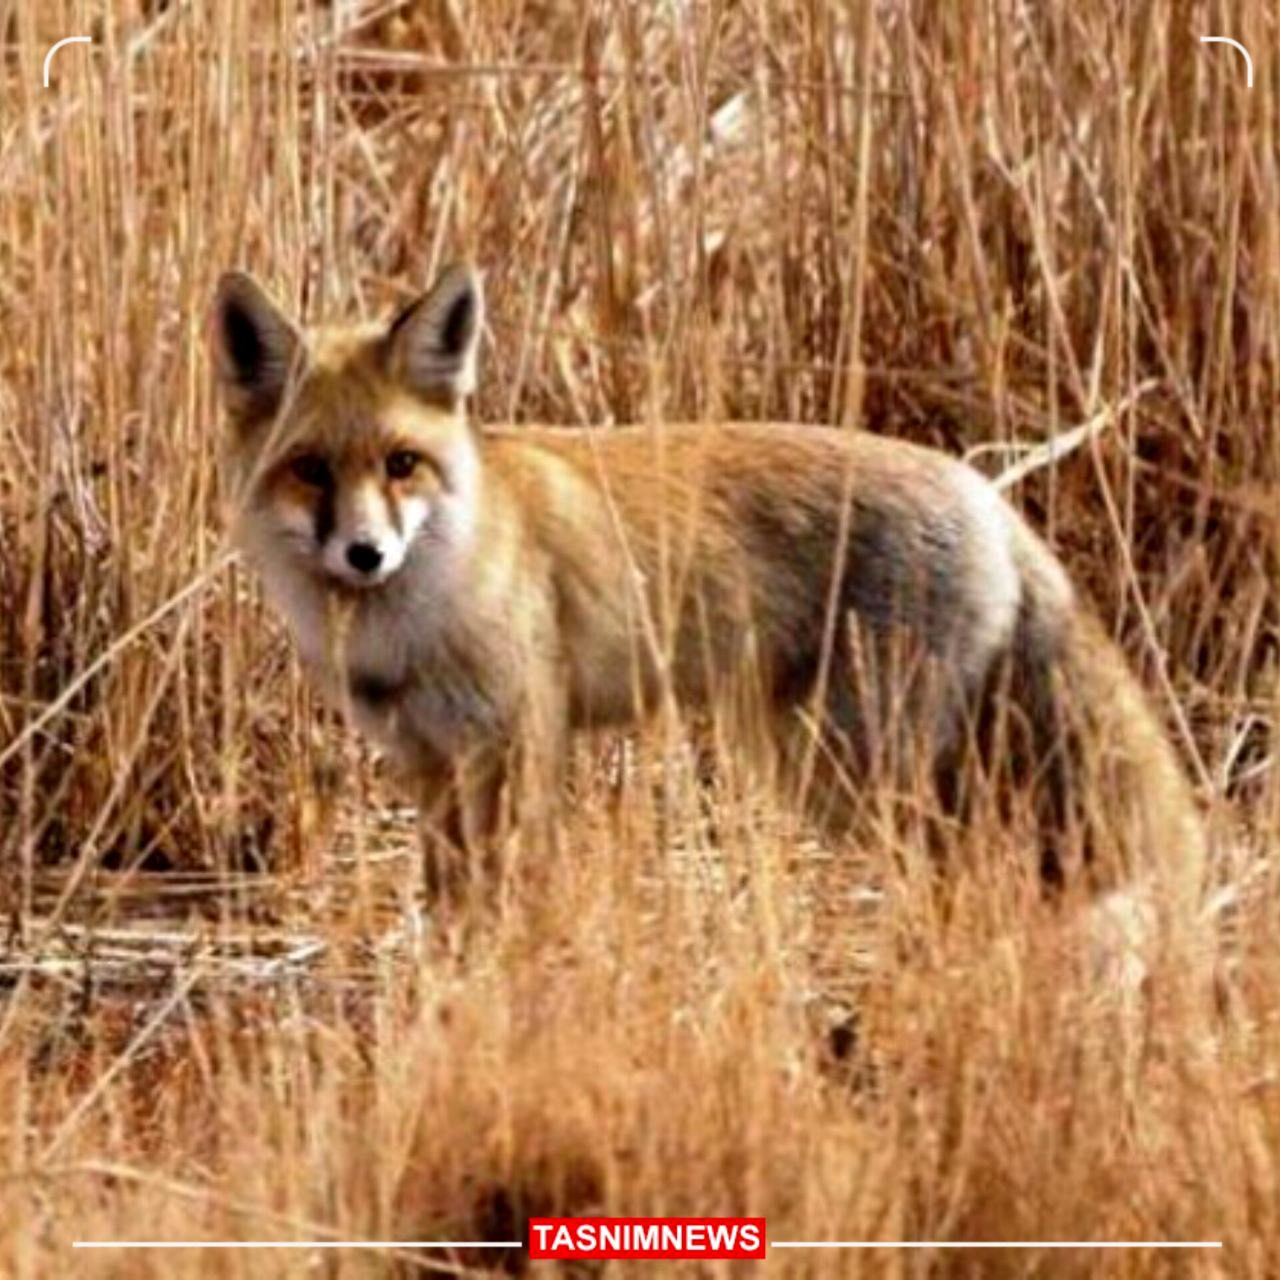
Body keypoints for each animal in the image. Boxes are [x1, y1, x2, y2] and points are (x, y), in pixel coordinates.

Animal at [209, 261, 1198, 901]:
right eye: (309, 472)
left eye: (402, 464)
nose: (365, 554)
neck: (415, 617)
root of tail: (987, 493)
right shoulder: (430, 764)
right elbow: (449, 911)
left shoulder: (519, 746)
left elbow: (507, 909)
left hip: (854, 765)